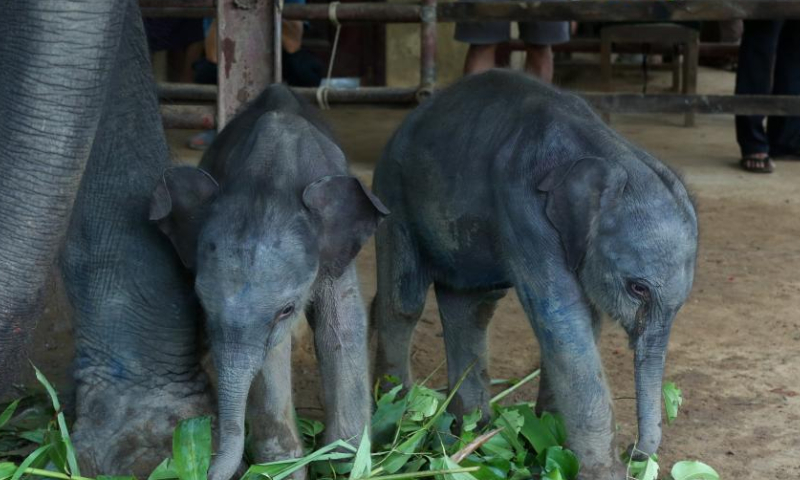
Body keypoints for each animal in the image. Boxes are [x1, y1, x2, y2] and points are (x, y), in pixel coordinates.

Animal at [152, 85, 388, 480]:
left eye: (286, 310)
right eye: (201, 302)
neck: (271, 175)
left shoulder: (335, 253)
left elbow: (341, 327)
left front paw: (345, 461)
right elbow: (271, 357)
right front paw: (282, 464)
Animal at [372, 69, 696, 478]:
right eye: (637, 288)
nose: (635, 452)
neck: (610, 153)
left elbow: (583, 323)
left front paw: (547, 442)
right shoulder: (523, 207)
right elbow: (562, 320)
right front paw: (603, 472)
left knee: (470, 308)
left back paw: (470, 436)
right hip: (393, 193)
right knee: (405, 303)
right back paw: (395, 428)